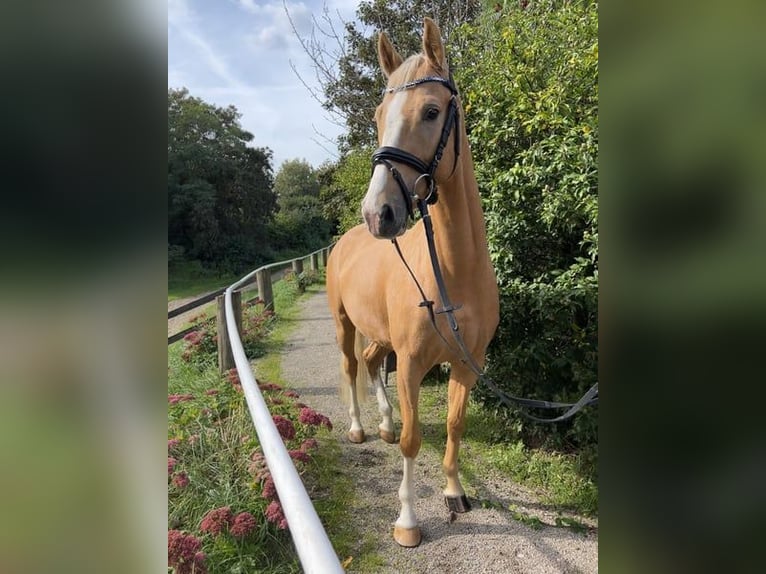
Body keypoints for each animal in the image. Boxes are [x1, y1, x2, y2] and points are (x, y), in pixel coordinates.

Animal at [328, 18, 500, 548]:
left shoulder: (467, 364)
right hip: (344, 324)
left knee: (368, 361)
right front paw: (406, 521)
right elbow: (412, 438)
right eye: (379, 115)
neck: (453, 276)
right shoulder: (409, 365)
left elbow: (454, 424)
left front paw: (454, 492)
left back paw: (381, 423)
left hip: (379, 336)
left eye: (430, 111)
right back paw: (360, 429)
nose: (378, 213)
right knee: (350, 366)